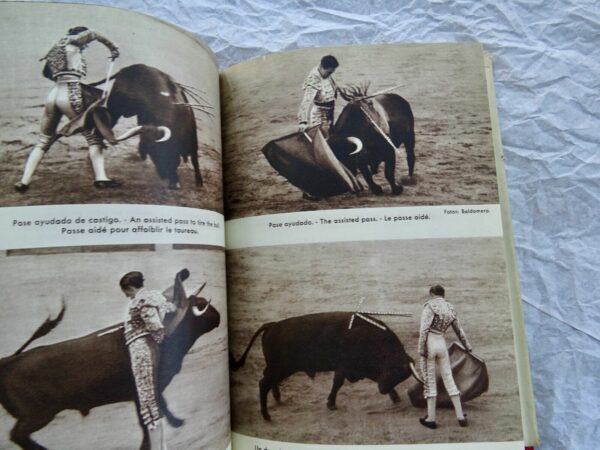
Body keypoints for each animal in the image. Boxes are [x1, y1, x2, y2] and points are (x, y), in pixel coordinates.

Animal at [0, 272, 220, 448]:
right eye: (202, 306)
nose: (218, 317)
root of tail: (11, 360)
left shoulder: (147, 390)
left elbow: (160, 407)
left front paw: (176, 422)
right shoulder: (143, 390)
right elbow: (149, 418)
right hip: (38, 414)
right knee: (17, 435)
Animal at [229, 312, 422, 420]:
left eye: (401, 376)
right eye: (395, 370)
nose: (383, 390)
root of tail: (272, 325)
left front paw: (395, 396)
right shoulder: (345, 367)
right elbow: (337, 384)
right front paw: (331, 404)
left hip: (278, 368)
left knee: (269, 382)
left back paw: (276, 399)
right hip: (281, 367)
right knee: (263, 384)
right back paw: (266, 415)